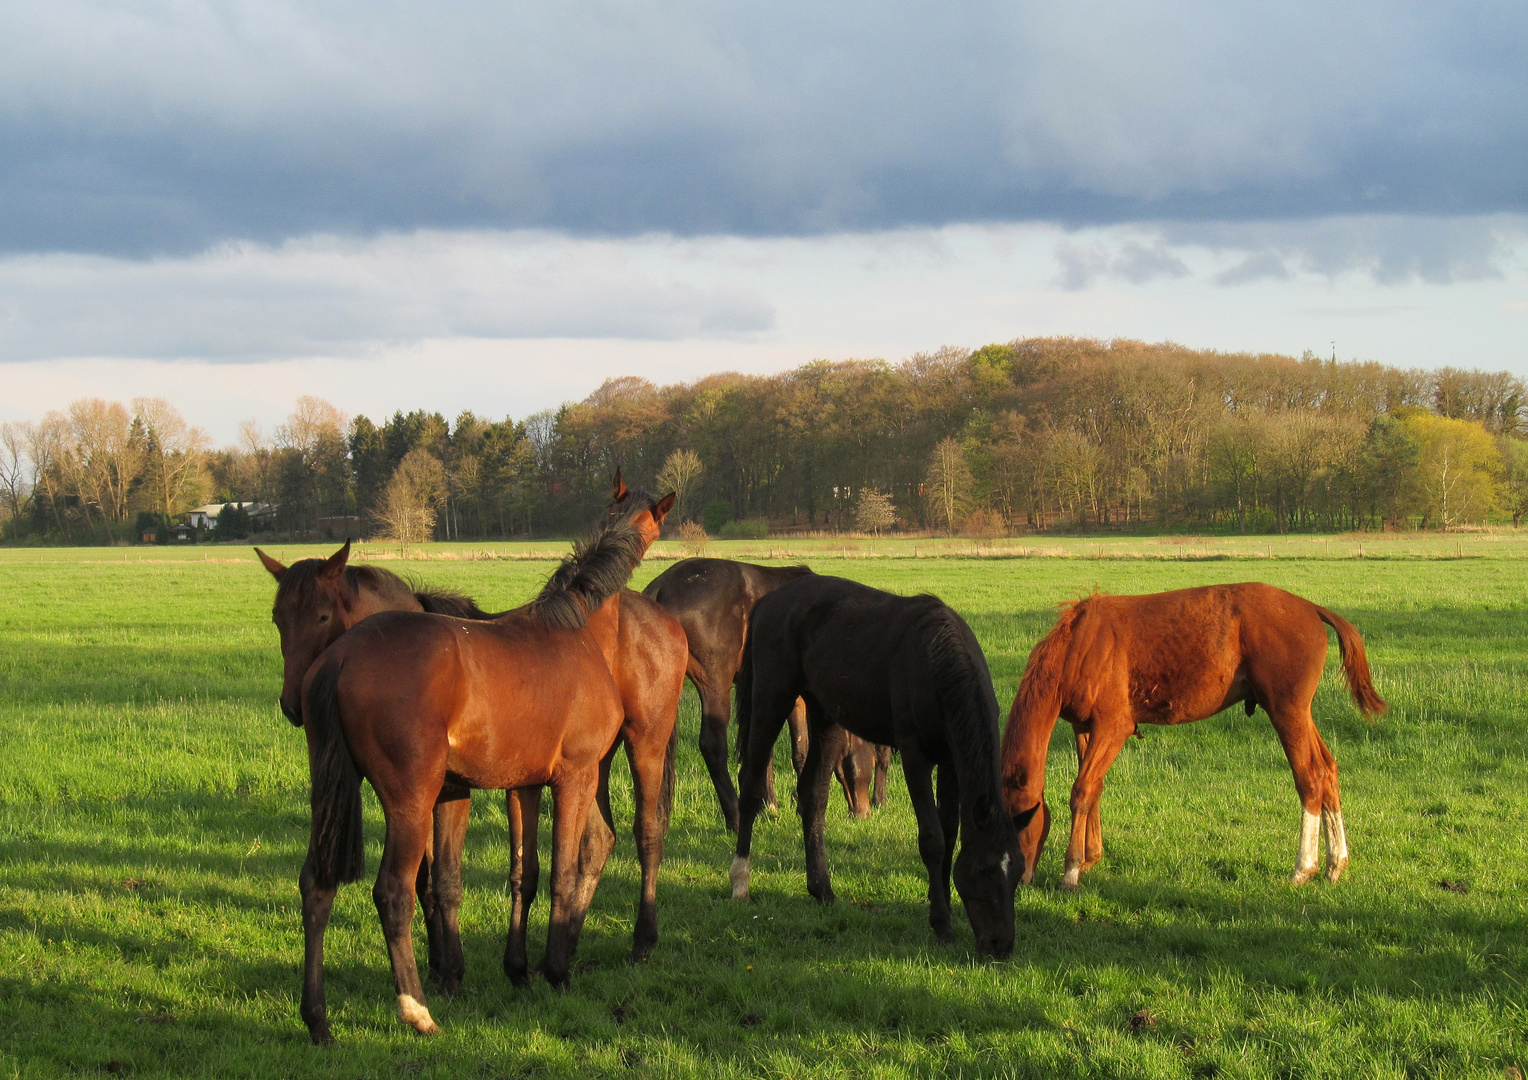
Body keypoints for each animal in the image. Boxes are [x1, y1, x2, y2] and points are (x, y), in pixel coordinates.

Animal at [730, 577, 1039, 959]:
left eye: (1018, 870)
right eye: (984, 869)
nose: (1000, 946)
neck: (936, 662)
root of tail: (770, 600)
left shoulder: (951, 760)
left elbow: (950, 834)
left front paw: (946, 910)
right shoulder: (915, 756)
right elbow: (933, 839)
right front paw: (941, 924)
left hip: (826, 715)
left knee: (813, 794)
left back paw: (822, 890)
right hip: (772, 699)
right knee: (750, 784)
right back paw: (740, 881)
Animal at [1002, 586, 1387, 892]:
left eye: (1020, 822)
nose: (1018, 880)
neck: (1081, 644)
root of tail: (1311, 608)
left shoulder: (1114, 727)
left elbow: (1081, 792)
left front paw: (1071, 872)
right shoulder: (1085, 727)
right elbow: (1093, 790)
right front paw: (1090, 858)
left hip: (1287, 712)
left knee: (1310, 777)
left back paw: (1302, 869)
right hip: (1300, 715)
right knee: (1329, 770)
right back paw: (1335, 864)